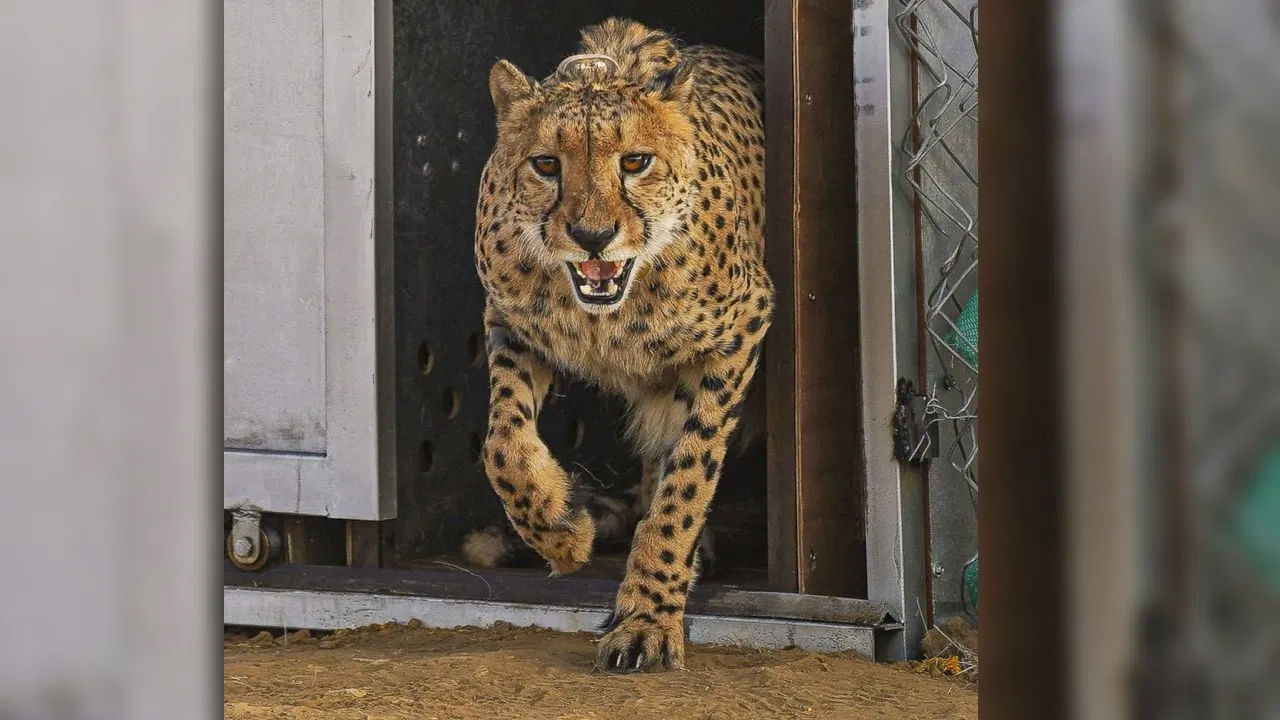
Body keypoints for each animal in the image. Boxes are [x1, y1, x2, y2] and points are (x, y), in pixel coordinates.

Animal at [472, 17, 772, 672]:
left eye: (636, 161)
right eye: (546, 164)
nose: (592, 235)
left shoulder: (741, 329)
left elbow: (687, 482)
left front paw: (648, 616)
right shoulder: (511, 322)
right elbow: (503, 445)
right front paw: (562, 532)